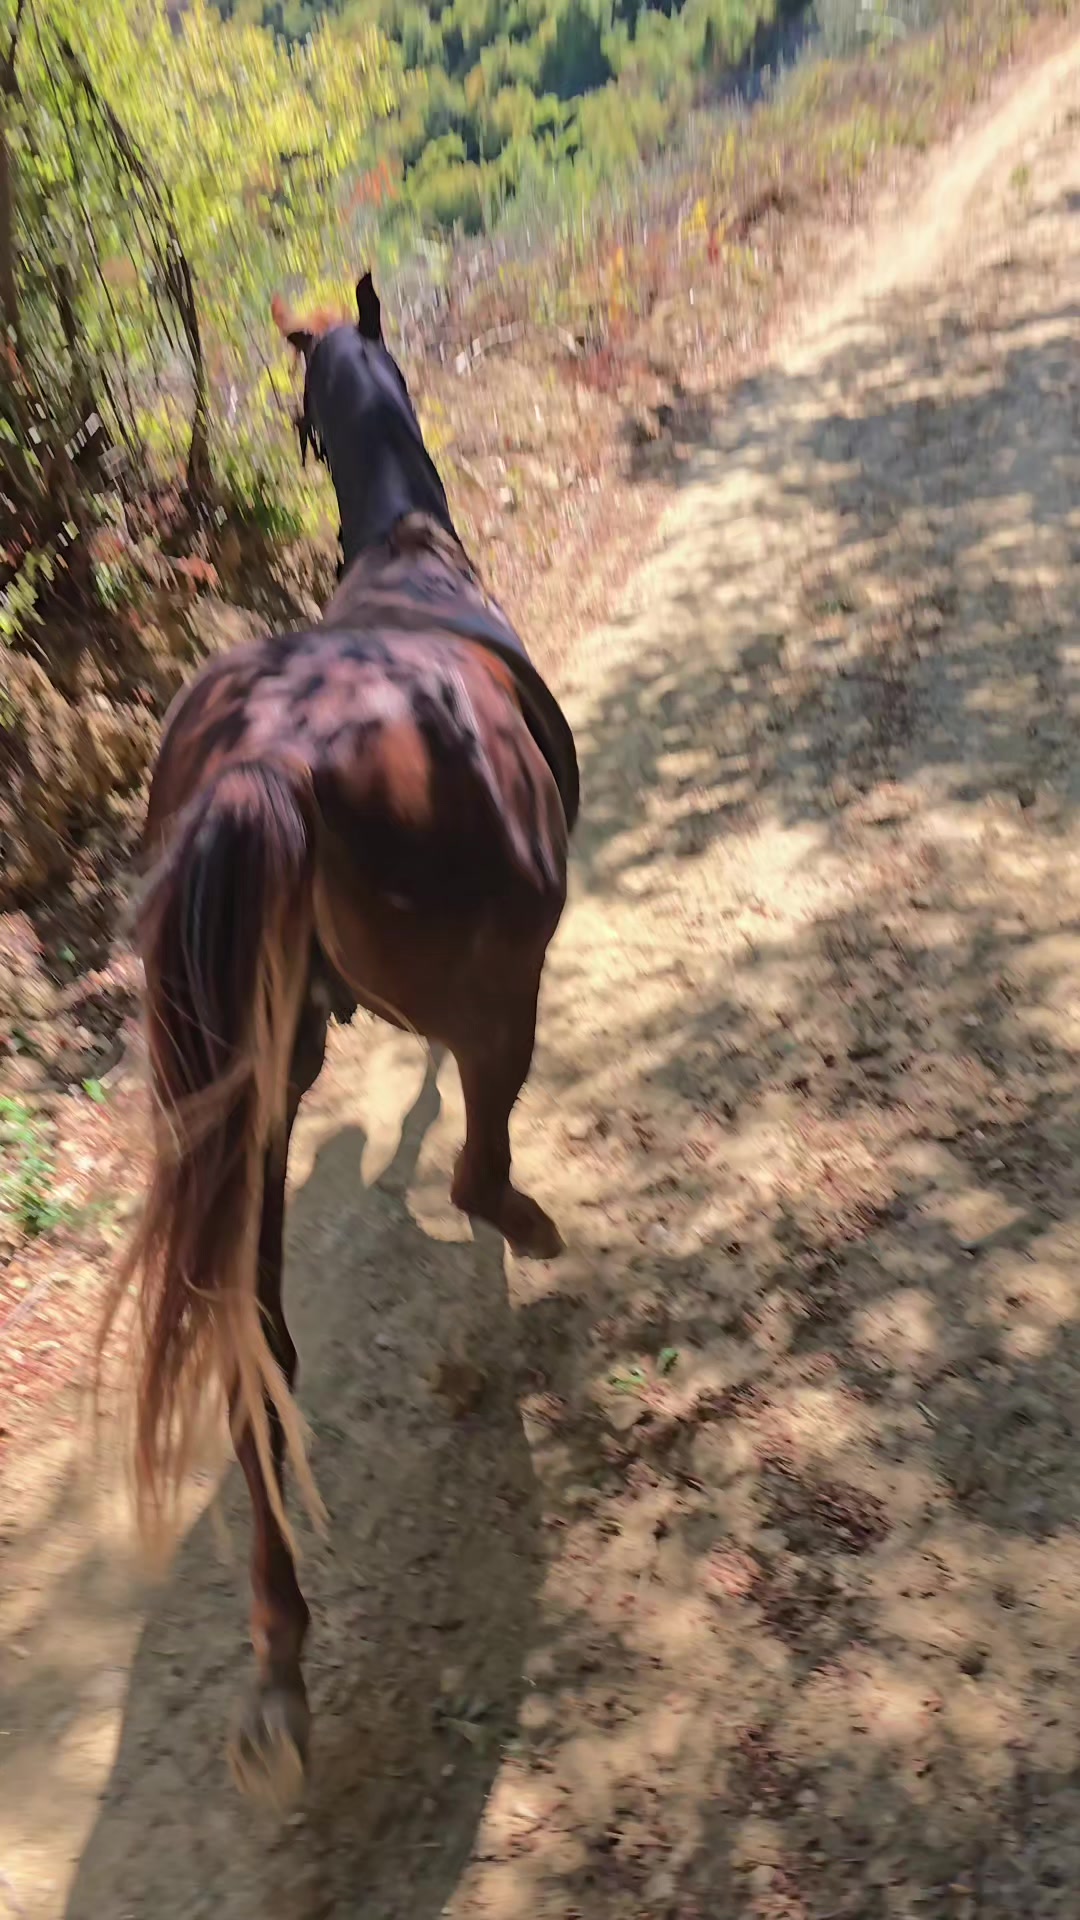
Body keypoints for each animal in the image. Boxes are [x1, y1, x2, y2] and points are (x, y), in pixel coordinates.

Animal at [103, 271, 579, 1809]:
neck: (406, 552)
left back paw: (278, 1663)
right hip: (494, 995)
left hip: (233, 1097)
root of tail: (270, 755)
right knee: (478, 1172)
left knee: (255, 1353)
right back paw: (530, 1234)